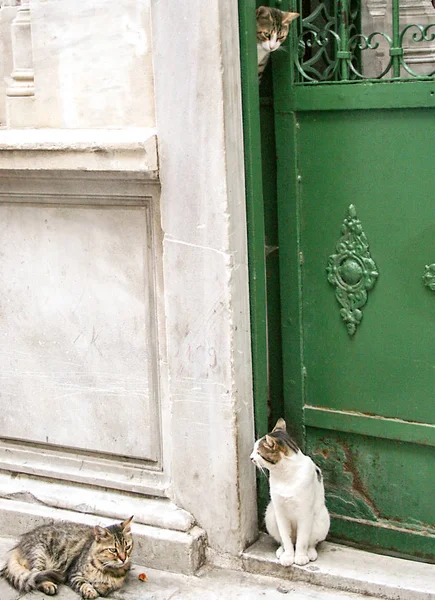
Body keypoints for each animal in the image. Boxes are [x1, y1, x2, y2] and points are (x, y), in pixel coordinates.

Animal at [252, 418, 330, 568]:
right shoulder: (280, 511)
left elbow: (302, 540)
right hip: (270, 514)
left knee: (310, 542)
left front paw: (300, 557)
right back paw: (281, 551)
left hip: (322, 519)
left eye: (258, 453)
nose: (250, 458)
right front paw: (288, 556)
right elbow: (285, 538)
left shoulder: (304, 512)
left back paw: (309, 553)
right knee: (285, 540)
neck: (284, 474)